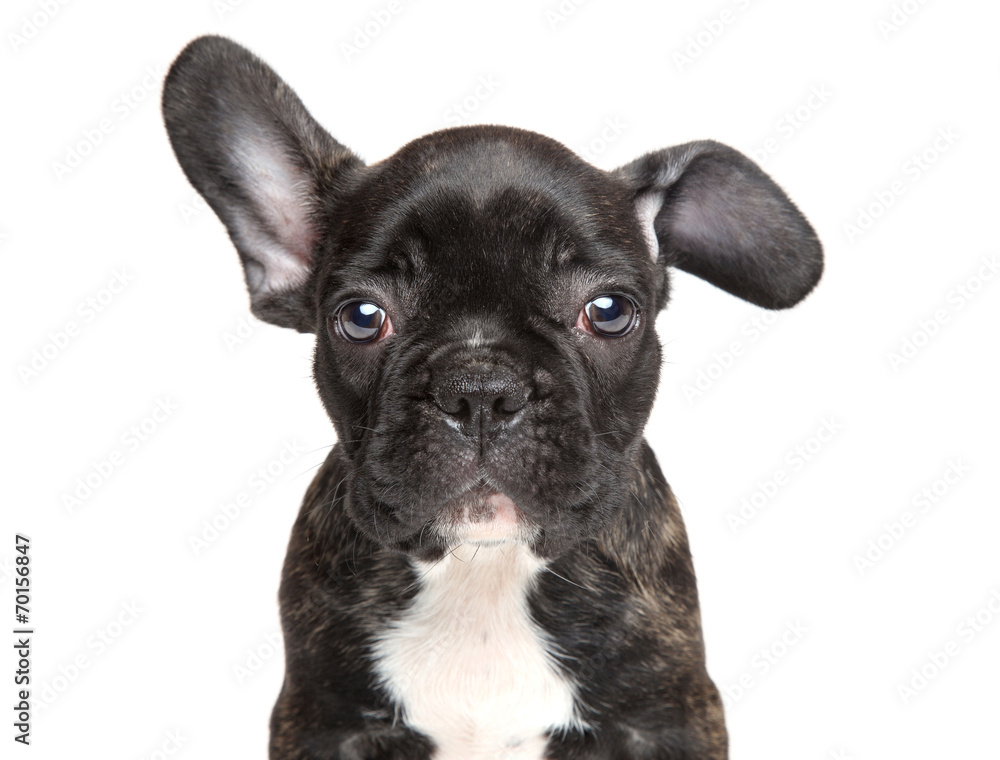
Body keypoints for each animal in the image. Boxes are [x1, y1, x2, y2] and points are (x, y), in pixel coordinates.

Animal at [162, 35, 820, 760]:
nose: (479, 390)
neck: (484, 571)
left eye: (610, 311)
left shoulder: (667, 718)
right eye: (361, 318)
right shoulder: (323, 721)